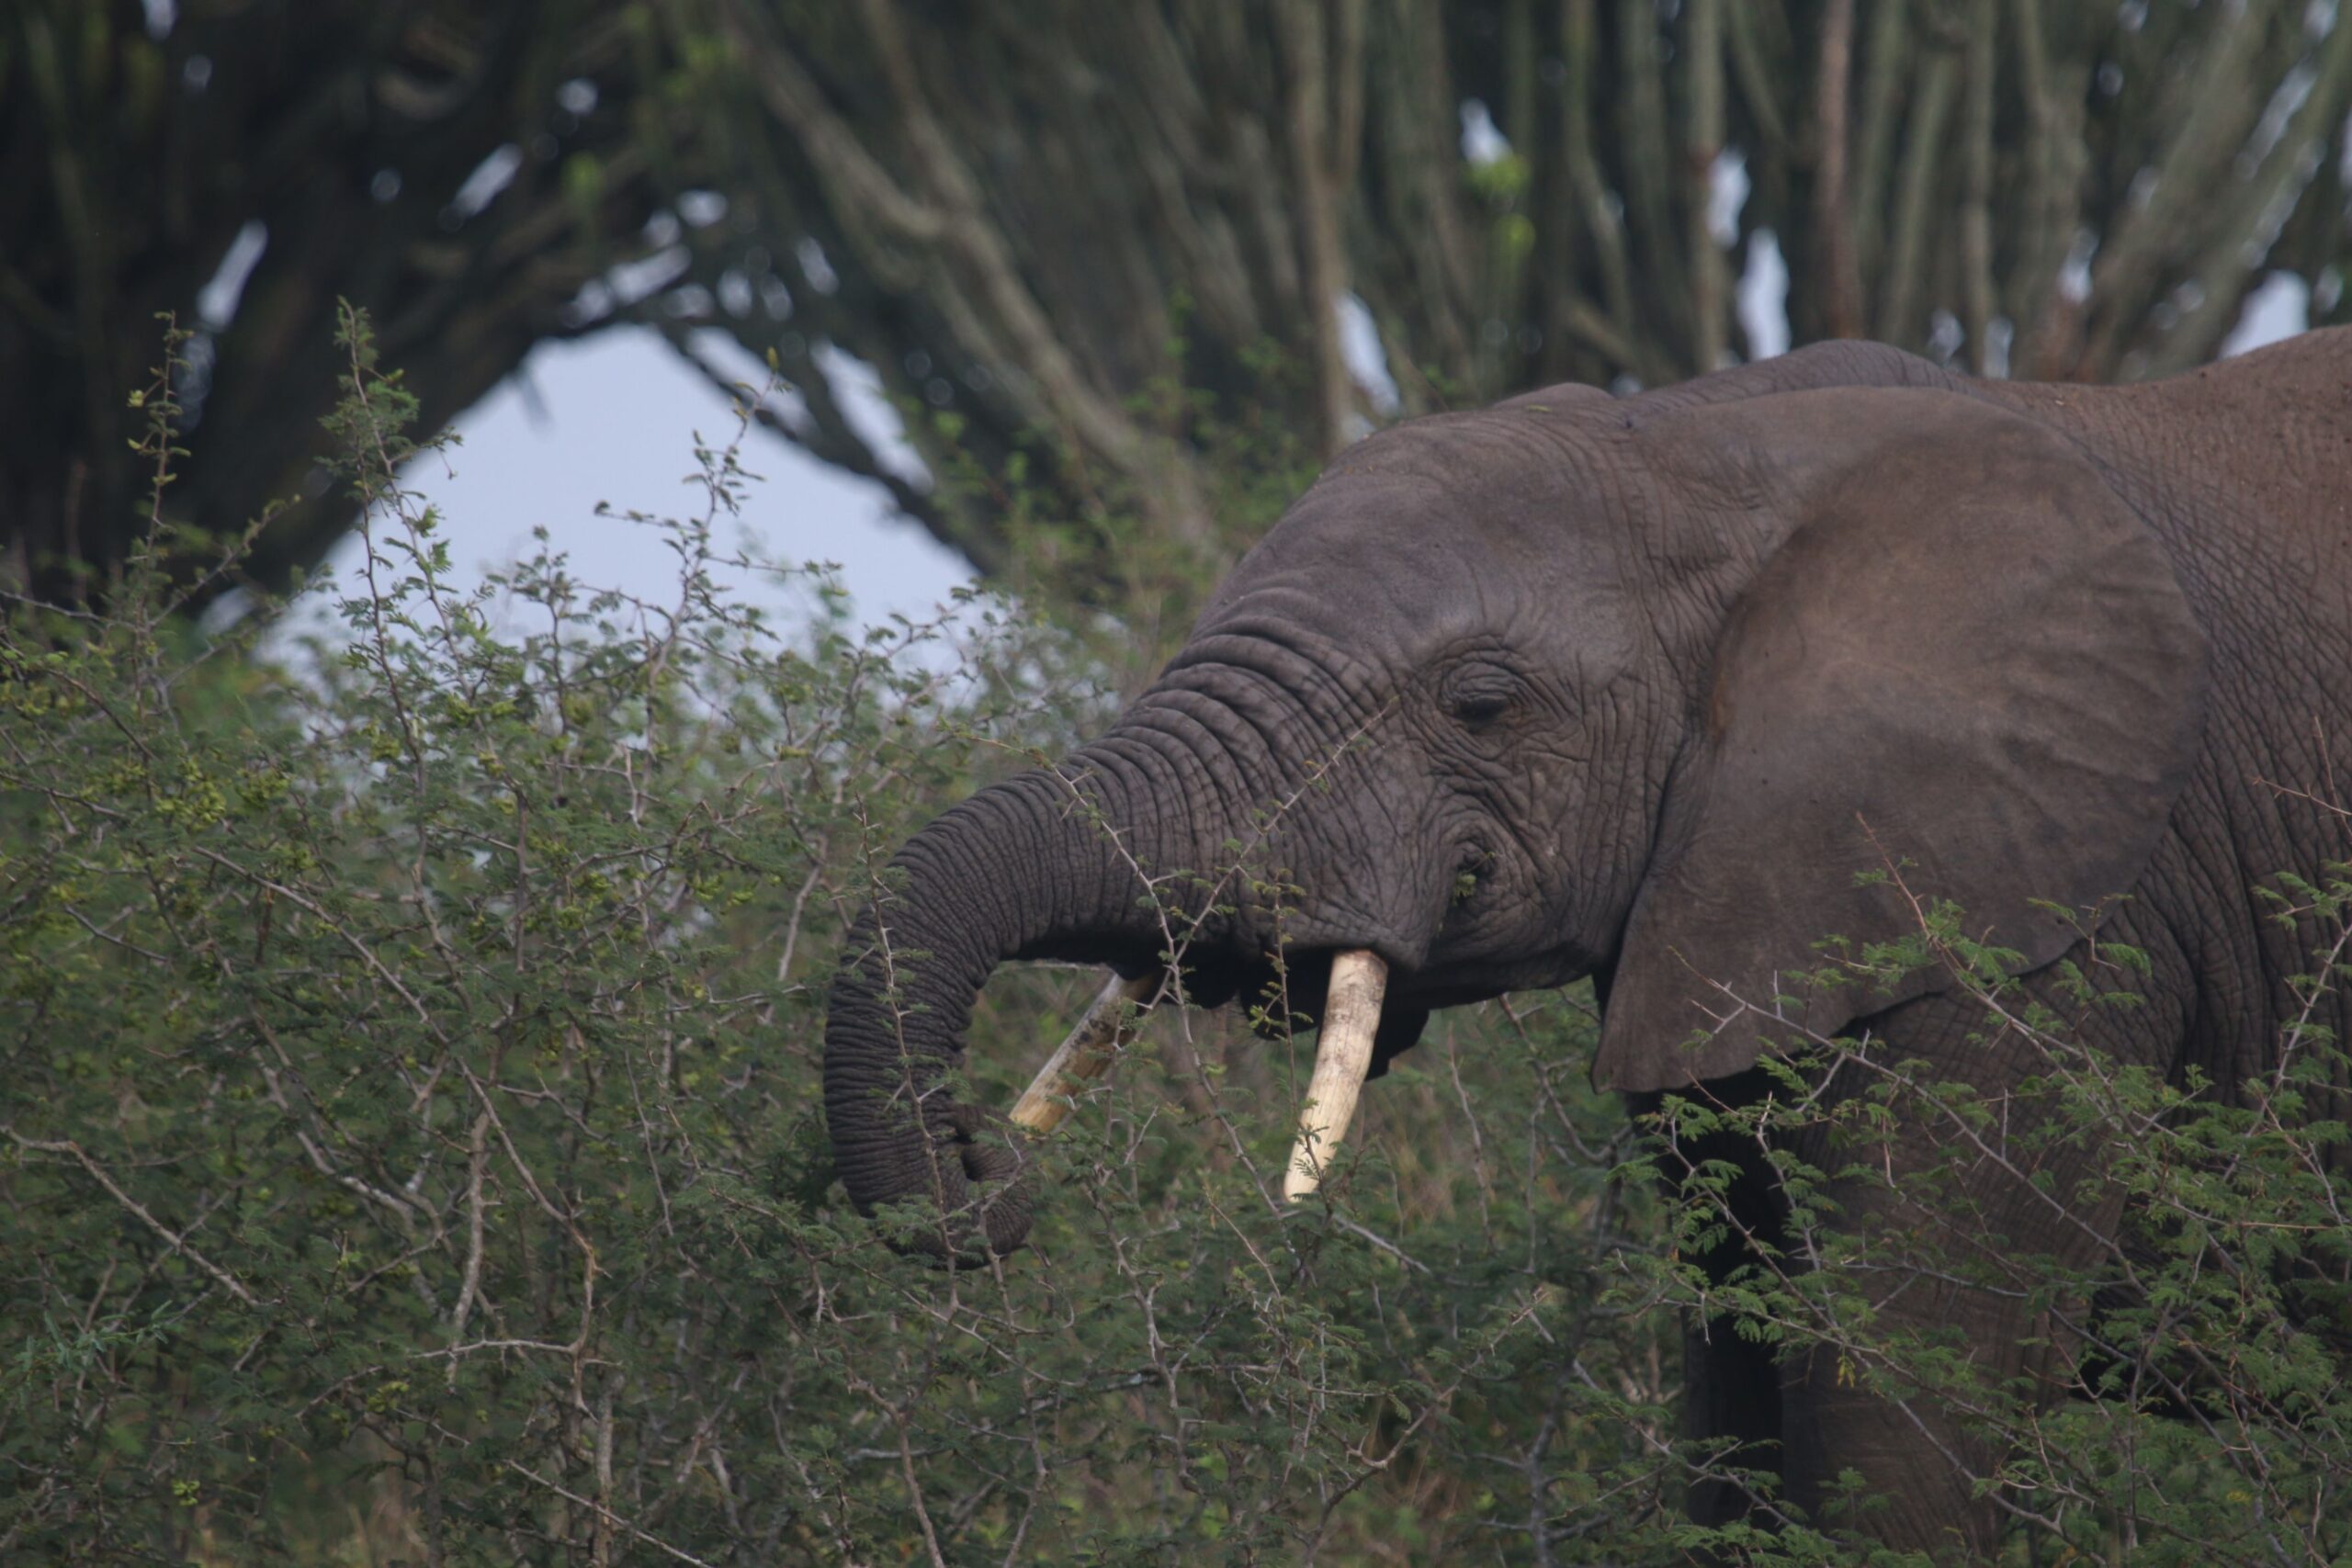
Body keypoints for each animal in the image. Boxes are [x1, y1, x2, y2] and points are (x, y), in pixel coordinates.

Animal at [821, 328, 2352, 1554]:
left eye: (1482, 702)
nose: (979, 1149)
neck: (1707, 437)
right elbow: (1737, 1408)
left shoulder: (2061, 915)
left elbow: (1905, 1436)